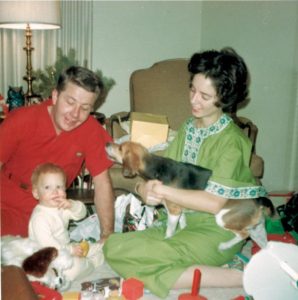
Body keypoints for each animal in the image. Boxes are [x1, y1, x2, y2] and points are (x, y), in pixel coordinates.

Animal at [106, 141, 274, 248]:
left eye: (120, 147)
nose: (107, 143)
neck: (157, 168)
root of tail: (258, 199)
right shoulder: (180, 211)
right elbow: (183, 224)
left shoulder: (174, 211)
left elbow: (169, 231)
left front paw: (167, 240)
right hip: (258, 229)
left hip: (223, 218)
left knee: (243, 235)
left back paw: (224, 246)